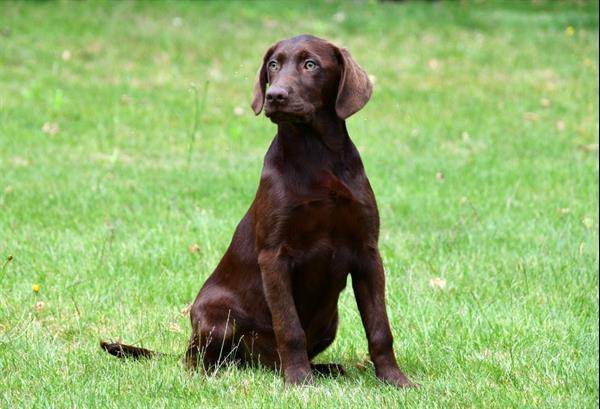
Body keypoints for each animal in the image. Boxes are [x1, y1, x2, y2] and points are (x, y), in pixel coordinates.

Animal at [101, 34, 414, 386]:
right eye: (273, 65)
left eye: (310, 64)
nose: (275, 95)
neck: (315, 154)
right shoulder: (275, 256)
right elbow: (289, 327)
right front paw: (299, 381)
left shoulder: (367, 253)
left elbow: (379, 327)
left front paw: (394, 379)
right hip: (215, 318)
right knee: (201, 361)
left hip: (329, 322)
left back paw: (325, 369)